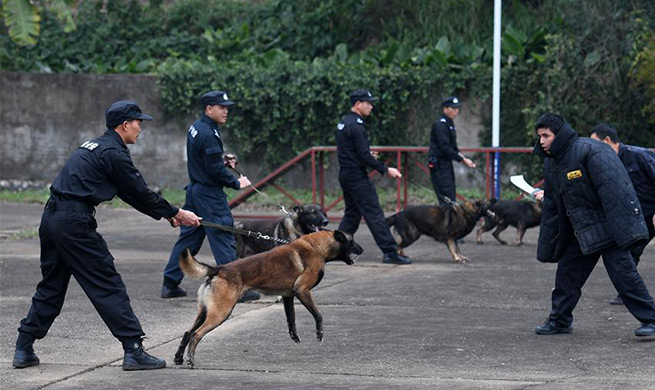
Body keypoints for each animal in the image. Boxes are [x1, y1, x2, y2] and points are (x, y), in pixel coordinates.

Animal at [174, 230, 364, 368]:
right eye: (352, 240)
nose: (362, 249)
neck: (316, 247)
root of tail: (218, 269)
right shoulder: (303, 291)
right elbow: (318, 314)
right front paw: (319, 334)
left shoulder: (288, 296)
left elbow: (291, 319)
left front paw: (294, 336)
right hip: (221, 313)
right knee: (196, 334)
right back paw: (190, 360)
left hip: (205, 312)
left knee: (187, 332)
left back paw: (178, 358)